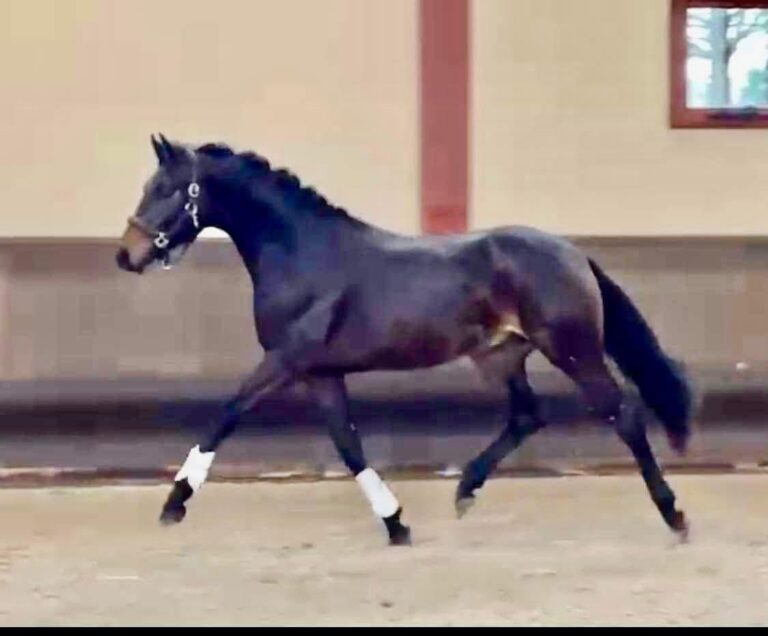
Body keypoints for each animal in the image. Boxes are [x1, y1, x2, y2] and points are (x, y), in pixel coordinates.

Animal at [116, 134, 694, 546]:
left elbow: (227, 415)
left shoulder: (286, 360)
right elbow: (348, 445)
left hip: (572, 350)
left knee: (625, 416)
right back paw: (465, 491)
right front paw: (396, 523)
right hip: (502, 356)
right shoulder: (322, 374)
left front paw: (174, 503)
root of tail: (572, 254)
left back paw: (675, 514)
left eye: (166, 189)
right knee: (528, 415)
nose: (126, 255)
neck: (303, 254)